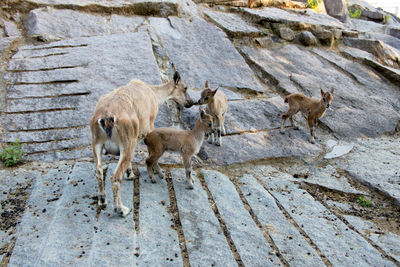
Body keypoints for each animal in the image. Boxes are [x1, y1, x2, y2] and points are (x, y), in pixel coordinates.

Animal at [89, 71, 192, 218]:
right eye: (185, 88)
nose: (191, 102)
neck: (155, 95)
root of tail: (106, 118)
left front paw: (130, 174)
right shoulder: (149, 127)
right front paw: (157, 172)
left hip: (97, 142)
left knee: (98, 170)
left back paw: (102, 201)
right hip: (126, 141)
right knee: (115, 177)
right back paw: (122, 209)